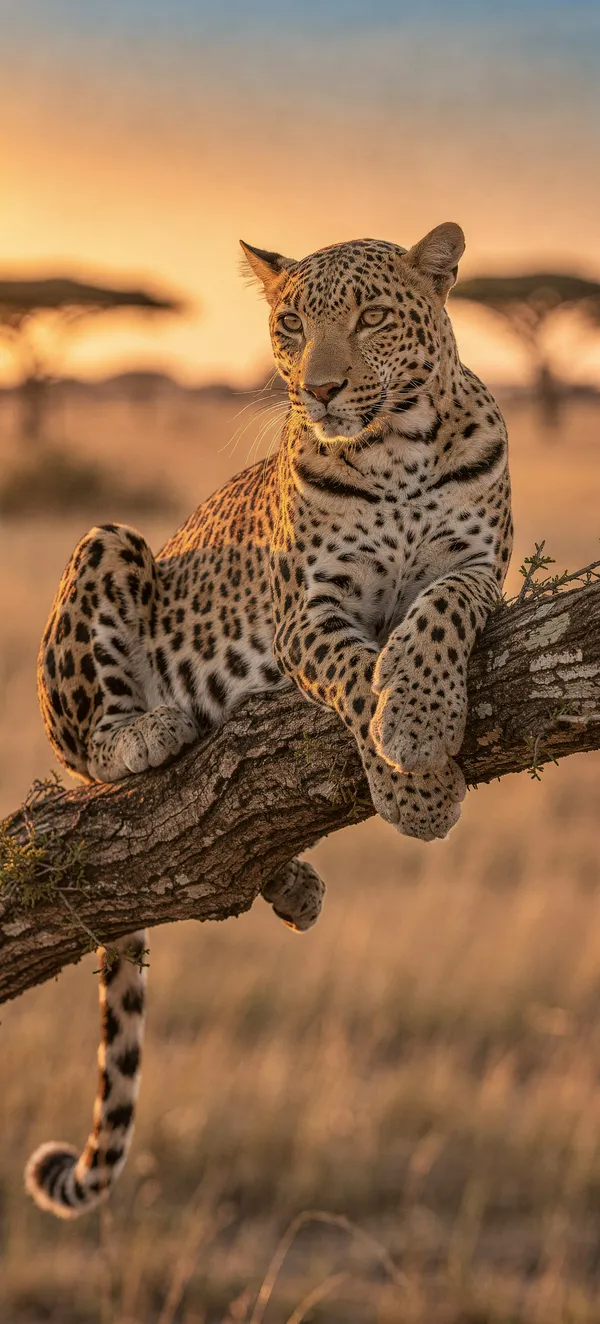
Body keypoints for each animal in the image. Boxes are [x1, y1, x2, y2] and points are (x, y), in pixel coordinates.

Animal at [25, 222, 512, 1219]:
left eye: (370, 318)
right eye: (292, 323)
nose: (319, 388)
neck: (398, 452)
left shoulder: (481, 569)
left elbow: (432, 619)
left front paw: (419, 731)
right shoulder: (307, 616)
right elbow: (360, 678)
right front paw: (414, 783)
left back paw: (289, 883)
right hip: (107, 545)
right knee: (91, 758)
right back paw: (149, 732)